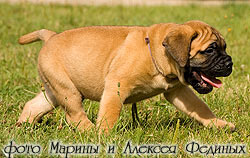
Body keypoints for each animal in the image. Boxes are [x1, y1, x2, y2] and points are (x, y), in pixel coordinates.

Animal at [16, 20, 235, 133]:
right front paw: (105, 135)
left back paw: (23, 126)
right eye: (210, 50)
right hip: (67, 91)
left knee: (34, 105)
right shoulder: (116, 86)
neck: (155, 52)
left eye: (224, 47)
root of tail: (51, 36)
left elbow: (200, 108)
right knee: (74, 115)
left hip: (54, 90)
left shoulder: (178, 91)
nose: (230, 63)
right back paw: (91, 133)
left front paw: (219, 124)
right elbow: (110, 113)